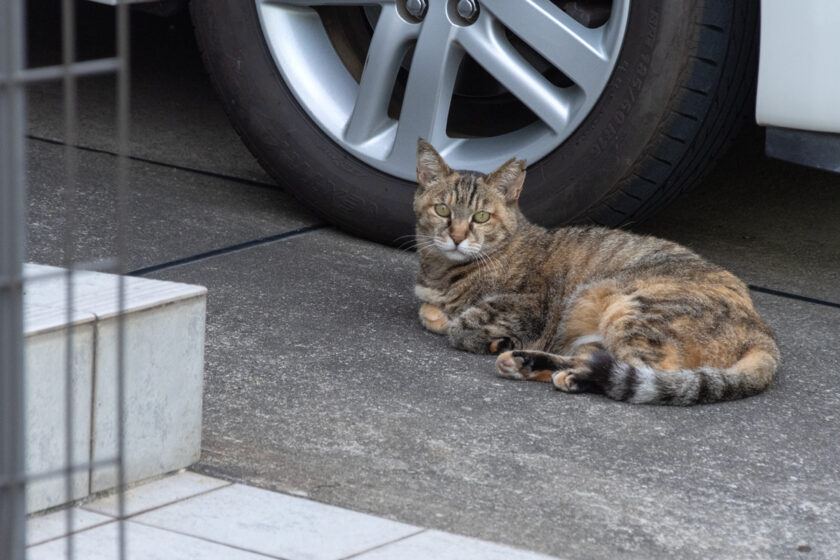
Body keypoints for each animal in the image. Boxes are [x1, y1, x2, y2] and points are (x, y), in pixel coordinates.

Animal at [414, 138, 780, 404]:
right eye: (442, 210)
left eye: (481, 217)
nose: (456, 236)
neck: (442, 271)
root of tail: (763, 331)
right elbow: (429, 311)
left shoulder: (531, 305)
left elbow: (462, 325)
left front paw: (476, 331)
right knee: (602, 361)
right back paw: (528, 363)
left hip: (629, 309)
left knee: (644, 372)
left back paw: (561, 372)